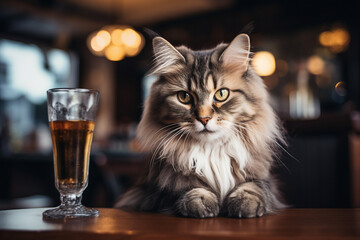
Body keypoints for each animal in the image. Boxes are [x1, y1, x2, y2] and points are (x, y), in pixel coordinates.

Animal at [114, 32, 286, 218]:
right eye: (184, 97)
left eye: (221, 94)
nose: (204, 119)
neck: (211, 150)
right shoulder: (153, 191)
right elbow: (187, 188)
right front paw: (200, 203)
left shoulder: (265, 181)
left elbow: (253, 187)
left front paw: (245, 203)